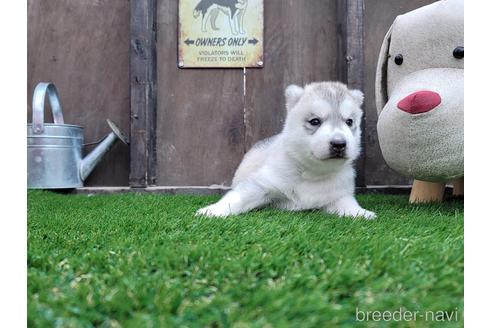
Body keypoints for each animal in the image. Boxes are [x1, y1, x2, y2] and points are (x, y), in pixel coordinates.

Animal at [198, 82, 374, 220]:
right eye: (315, 121)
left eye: (349, 122)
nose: (339, 144)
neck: (311, 173)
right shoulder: (261, 184)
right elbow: (237, 197)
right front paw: (212, 210)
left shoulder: (338, 194)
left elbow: (348, 203)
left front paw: (362, 213)